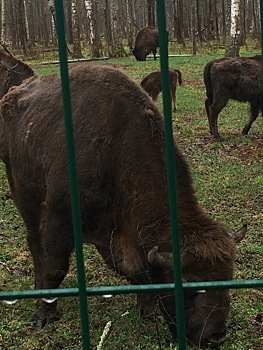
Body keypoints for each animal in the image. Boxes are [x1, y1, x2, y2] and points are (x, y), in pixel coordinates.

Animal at [0, 63, 248, 348]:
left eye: (229, 278)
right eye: (189, 284)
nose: (215, 336)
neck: (117, 154)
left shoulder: (118, 236)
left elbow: (140, 273)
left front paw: (151, 312)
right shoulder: (59, 220)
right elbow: (55, 268)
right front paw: (44, 316)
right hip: (23, 194)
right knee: (35, 245)